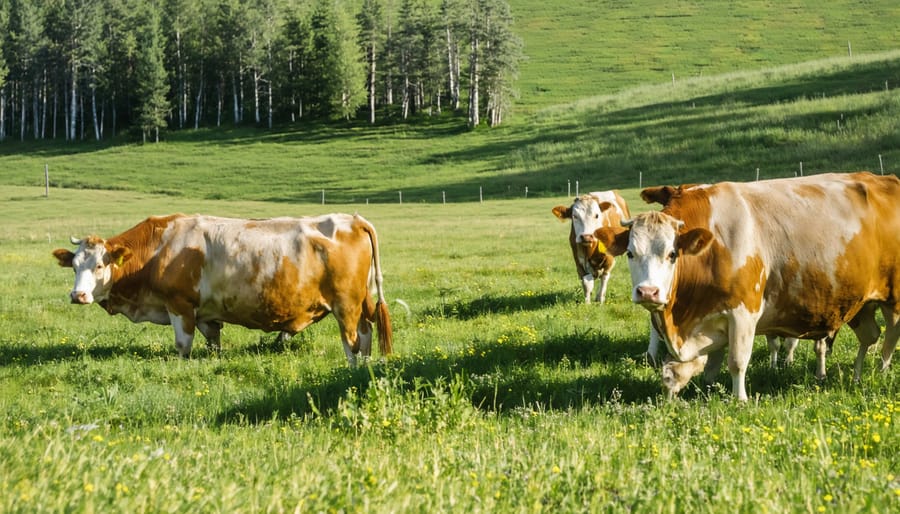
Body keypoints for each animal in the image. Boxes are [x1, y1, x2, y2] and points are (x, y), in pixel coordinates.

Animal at [52, 210, 390, 362]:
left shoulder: (180, 305)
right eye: (75, 265)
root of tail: (352, 218)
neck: (160, 248)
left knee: (351, 341)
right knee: (366, 332)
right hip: (360, 303)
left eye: (99, 266)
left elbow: (183, 345)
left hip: (345, 305)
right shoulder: (206, 314)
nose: (78, 295)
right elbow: (213, 341)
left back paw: (353, 365)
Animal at [596, 172, 900, 400]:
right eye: (631, 253)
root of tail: (886, 178)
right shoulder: (707, 319)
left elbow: (737, 361)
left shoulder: (744, 313)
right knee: (870, 337)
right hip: (862, 304)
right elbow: (698, 367)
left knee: (889, 339)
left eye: (672, 254)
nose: (648, 292)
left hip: (893, 299)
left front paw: (739, 399)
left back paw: (882, 372)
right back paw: (857, 376)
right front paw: (701, 392)